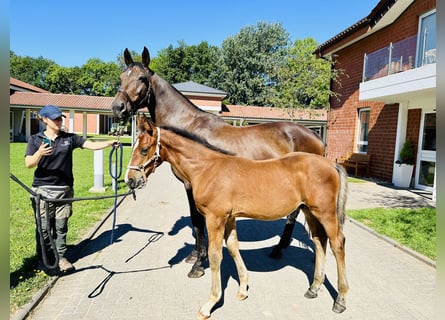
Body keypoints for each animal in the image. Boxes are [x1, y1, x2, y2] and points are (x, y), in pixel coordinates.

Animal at [112, 47, 324, 278]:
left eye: (141, 78)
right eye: (121, 77)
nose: (118, 107)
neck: (188, 125)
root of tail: (315, 135)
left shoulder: (190, 185)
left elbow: (197, 221)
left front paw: (199, 263)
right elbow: (196, 221)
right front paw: (195, 256)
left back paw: (282, 250)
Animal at [124, 116, 346, 318]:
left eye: (144, 149)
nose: (130, 180)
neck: (207, 168)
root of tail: (331, 164)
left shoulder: (215, 218)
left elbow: (215, 256)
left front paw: (209, 303)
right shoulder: (229, 218)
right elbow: (233, 247)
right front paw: (242, 290)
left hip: (325, 213)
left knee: (337, 243)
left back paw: (340, 300)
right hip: (310, 211)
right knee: (319, 242)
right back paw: (313, 288)